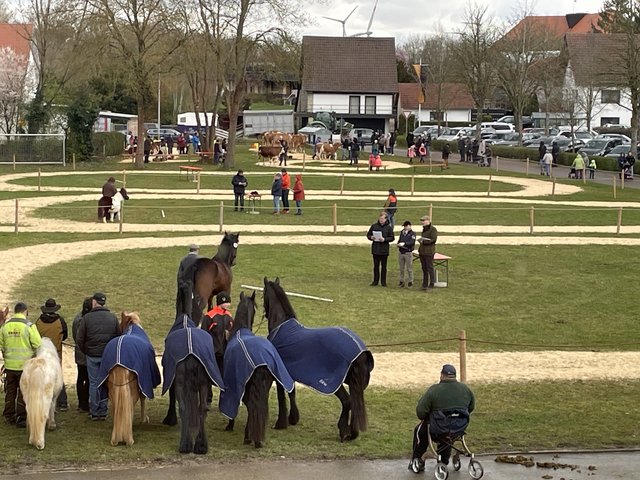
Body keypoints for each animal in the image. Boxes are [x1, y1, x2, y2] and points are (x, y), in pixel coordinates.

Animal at [98, 314, 162, 448]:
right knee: (131, 404)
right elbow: (143, 399)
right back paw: (128, 437)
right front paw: (144, 419)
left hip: (112, 387)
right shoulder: (143, 383)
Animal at [161, 316, 224, 454]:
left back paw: (185, 445)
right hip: (202, 382)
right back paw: (201, 445)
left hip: (179, 381)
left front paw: (170, 419)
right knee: (202, 408)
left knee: (183, 407)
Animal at [262, 278, 376, 442]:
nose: (264, 311)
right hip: (354, 383)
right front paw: (293, 419)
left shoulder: (279, 375)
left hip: (334, 383)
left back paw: (343, 431)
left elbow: (282, 396)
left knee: (347, 401)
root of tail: (360, 350)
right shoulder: (290, 373)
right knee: (354, 403)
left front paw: (280, 423)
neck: (281, 325)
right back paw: (352, 433)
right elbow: (292, 393)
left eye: (263, 294)